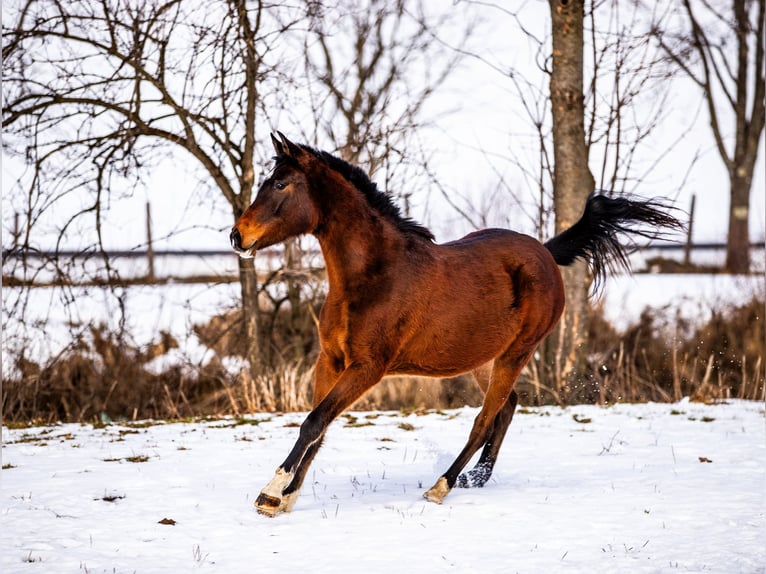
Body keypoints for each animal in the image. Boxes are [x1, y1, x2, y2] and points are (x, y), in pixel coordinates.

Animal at [230, 134, 684, 516]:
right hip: (484, 358)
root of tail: (545, 251)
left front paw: (271, 492)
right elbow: (319, 426)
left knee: (485, 419)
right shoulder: (331, 361)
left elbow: (314, 421)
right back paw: (475, 478)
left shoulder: (368, 368)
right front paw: (286, 498)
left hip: (517, 353)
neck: (375, 275)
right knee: (506, 408)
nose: (237, 236)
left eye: (280, 185)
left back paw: (442, 485)